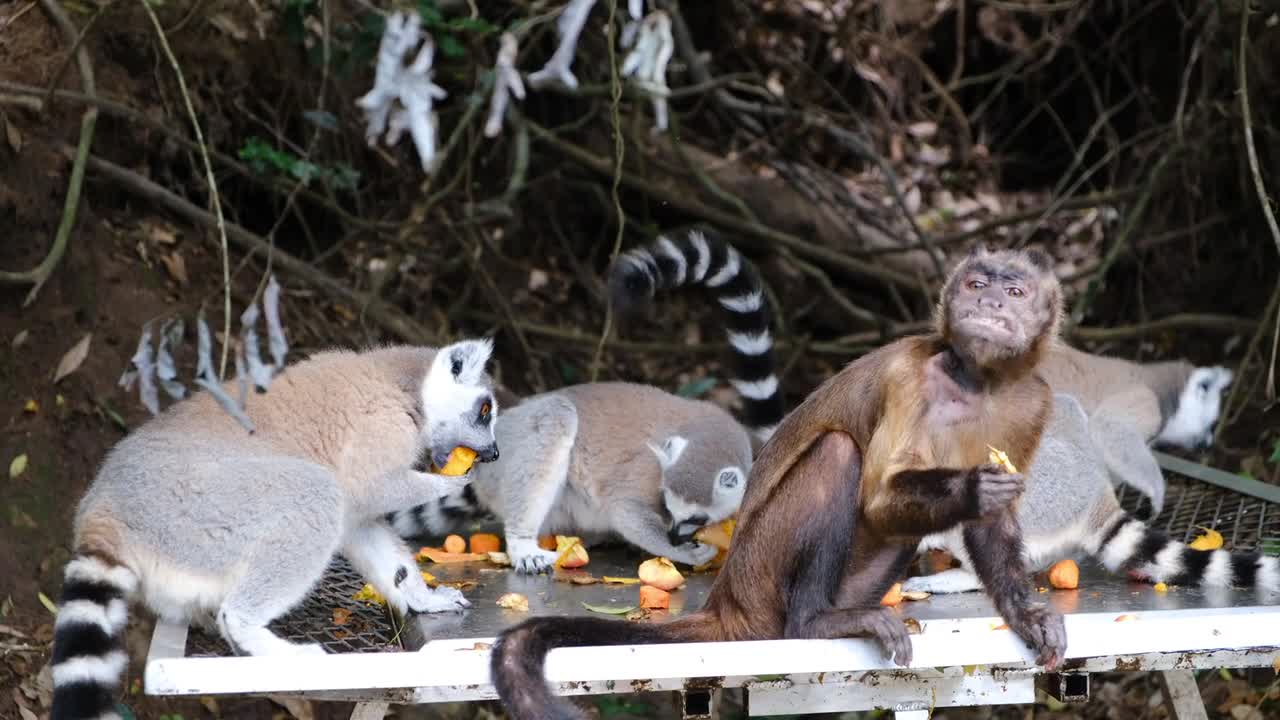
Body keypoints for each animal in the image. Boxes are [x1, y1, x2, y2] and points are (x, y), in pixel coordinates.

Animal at [488, 245, 1070, 717]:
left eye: (1013, 292)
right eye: (977, 285)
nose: (989, 306)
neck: (975, 381)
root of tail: (729, 598)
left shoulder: (1033, 399)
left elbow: (992, 523)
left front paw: (1025, 614)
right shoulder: (910, 377)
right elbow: (881, 498)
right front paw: (973, 489)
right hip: (761, 573)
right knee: (838, 453)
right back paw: (812, 622)